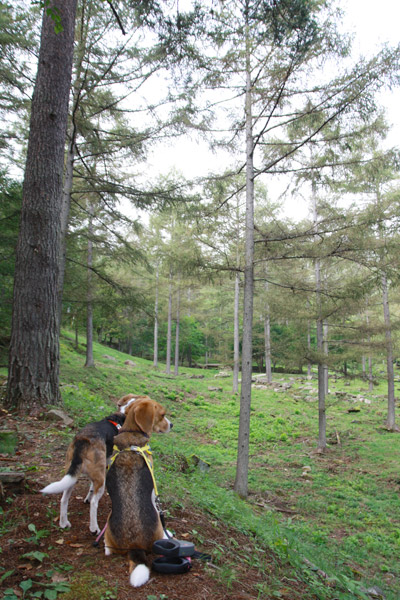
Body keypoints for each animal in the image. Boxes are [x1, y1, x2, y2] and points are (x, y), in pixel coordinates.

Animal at [103, 396, 172, 588]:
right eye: (162, 415)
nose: (172, 425)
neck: (132, 433)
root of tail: (135, 546)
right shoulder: (153, 491)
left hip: (108, 521)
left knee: (107, 549)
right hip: (156, 527)